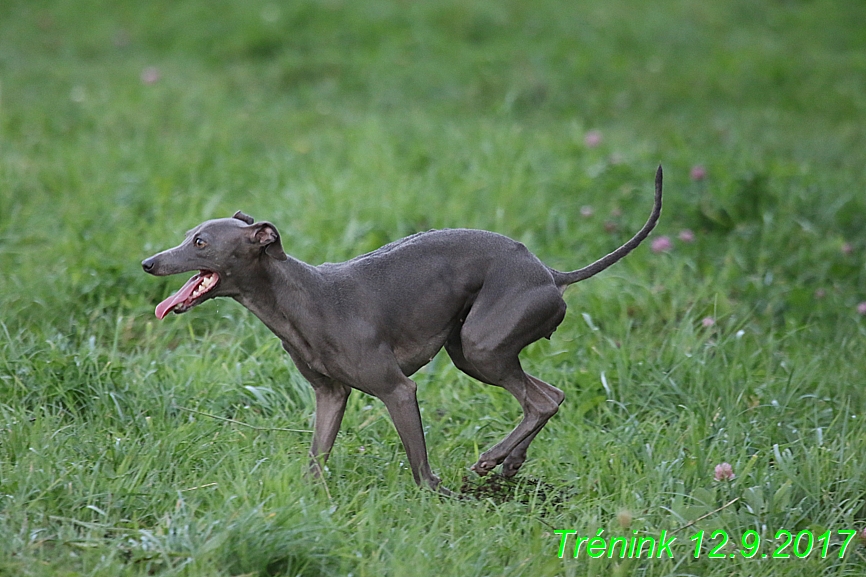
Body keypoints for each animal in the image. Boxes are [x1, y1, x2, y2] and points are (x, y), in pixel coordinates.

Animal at [142, 165, 660, 490]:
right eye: (188, 235)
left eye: (200, 241)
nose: (148, 262)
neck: (299, 296)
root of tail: (551, 273)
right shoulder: (330, 395)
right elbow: (316, 457)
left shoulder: (397, 389)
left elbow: (420, 465)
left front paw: (436, 496)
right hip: (470, 350)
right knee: (550, 394)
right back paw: (510, 463)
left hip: (480, 346)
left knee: (541, 401)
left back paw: (492, 458)